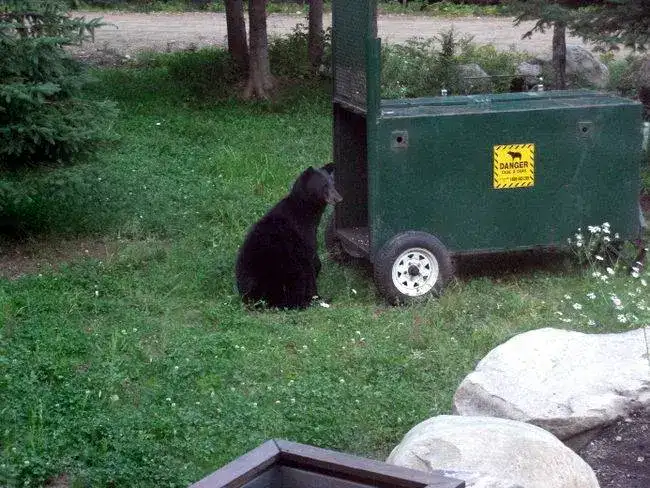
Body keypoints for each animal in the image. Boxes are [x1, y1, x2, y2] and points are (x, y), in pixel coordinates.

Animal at [235, 164, 342, 308]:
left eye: (333, 184)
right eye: (324, 185)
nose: (339, 198)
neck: (305, 210)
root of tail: (250, 298)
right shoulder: (302, 232)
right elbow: (309, 260)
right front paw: (316, 296)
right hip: (283, 270)